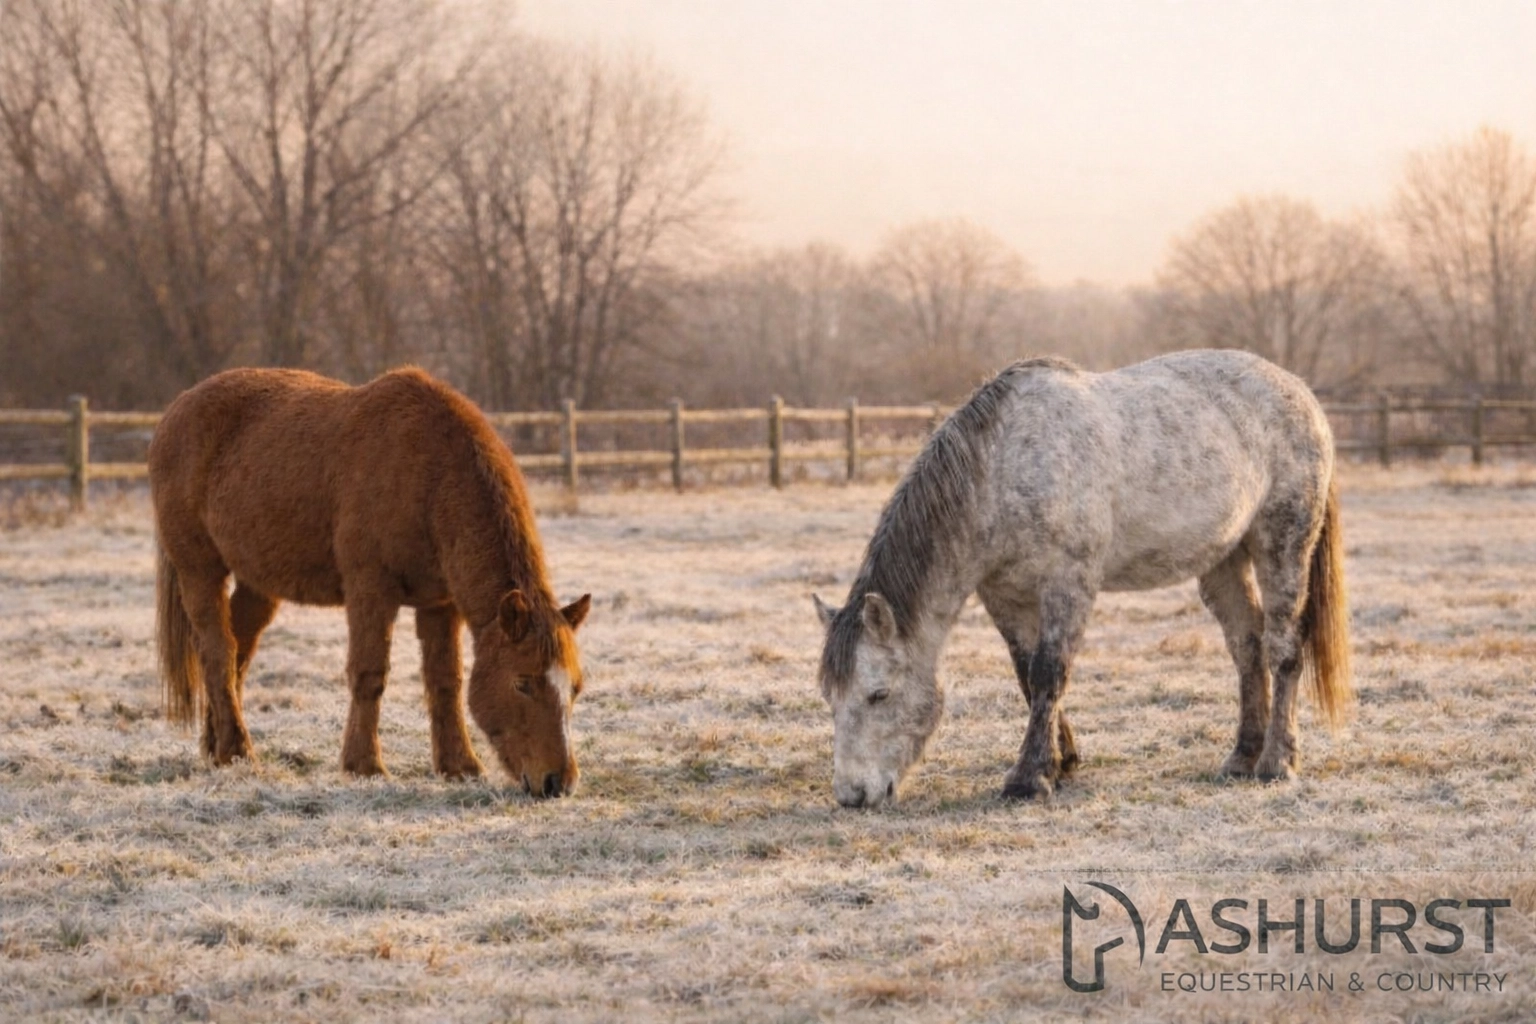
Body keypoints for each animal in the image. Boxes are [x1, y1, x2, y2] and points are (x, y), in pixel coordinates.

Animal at [148, 366, 591, 797]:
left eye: (575, 688)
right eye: (522, 683)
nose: (558, 782)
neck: (429, 475)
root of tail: (175, 411)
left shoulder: (439, 604)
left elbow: (445, 681)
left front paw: (459, 766)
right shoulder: (370, 591)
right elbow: (369, 674)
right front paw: (364, 766)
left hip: (257, 583)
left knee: (237, 652)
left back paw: (217, 748)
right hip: (199, 570)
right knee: (218, 653)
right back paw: (237, 751)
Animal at [813, 350, 1351, 808]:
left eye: (878, 694)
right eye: (830, 698)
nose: (852, 796)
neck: (1001, 468)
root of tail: (1303, 395)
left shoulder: (1068, 586)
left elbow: (1050, 672)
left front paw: (1029, 779)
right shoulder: (1003, 597)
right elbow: (1026, 674)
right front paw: (1062, 761)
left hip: (1282, 543)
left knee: (1283, 646)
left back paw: (1277, 762)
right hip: (1223, 559)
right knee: (1247, 647)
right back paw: (1242, 756)